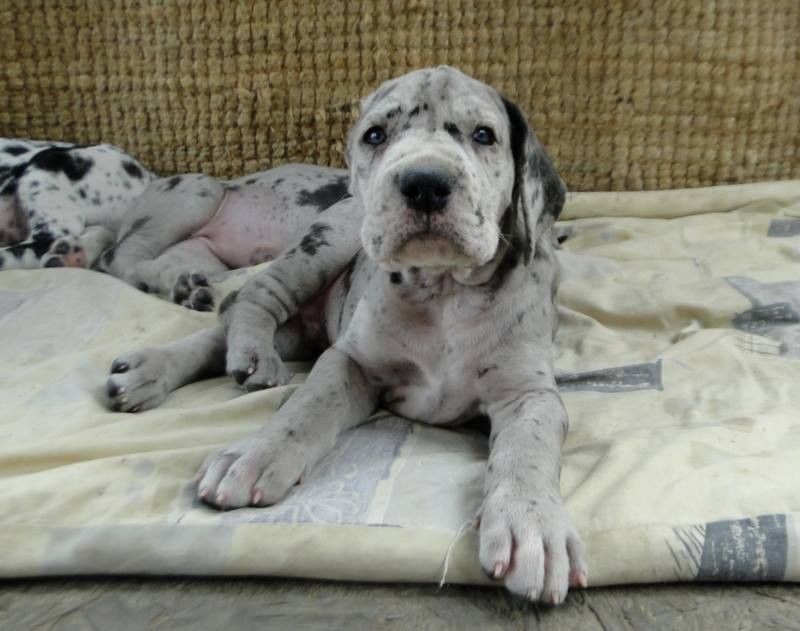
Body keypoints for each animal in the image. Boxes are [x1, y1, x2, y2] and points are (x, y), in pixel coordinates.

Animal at [105, 66, 588, 603]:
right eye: (375, 135)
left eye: (484, 135)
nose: (424, 183)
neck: (443, 290)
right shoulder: (348, 360)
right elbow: (308, 405)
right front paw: (256, 453)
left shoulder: (529, 394)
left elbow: (529, 449)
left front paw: (532, 524)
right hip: (330, 238)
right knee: (247, 300)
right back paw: (218, 359)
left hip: (304, 325)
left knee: (225, 331)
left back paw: (166, 368)